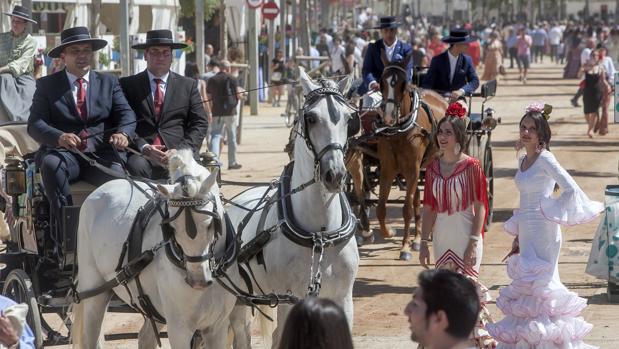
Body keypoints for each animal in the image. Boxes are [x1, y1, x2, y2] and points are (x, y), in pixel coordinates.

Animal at [71, 148, 239, 346]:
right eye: (172, 228)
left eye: (210, 224)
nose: (198, 281)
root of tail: (103, 187)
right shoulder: (179, 329)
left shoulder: (217, 326)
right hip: (95, 291)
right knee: (90, 335)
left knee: (145, 337)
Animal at [228, 68, 358, 348]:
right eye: (311, 118)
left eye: (350, 119)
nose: (335, 175)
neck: (320, 235)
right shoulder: (289, 299)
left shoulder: (343, 297)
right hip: (238, 297)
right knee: (240, 331)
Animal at [346, 55, 448, 258]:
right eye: (381, 82)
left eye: (403, 84)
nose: (388, 116)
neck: (399, 131)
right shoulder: (389, 168)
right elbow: (381, 208)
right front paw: (391, 232)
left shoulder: (412, 169)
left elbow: (406, 208)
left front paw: (405, 247)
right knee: (417, 198)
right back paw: (417, 238)